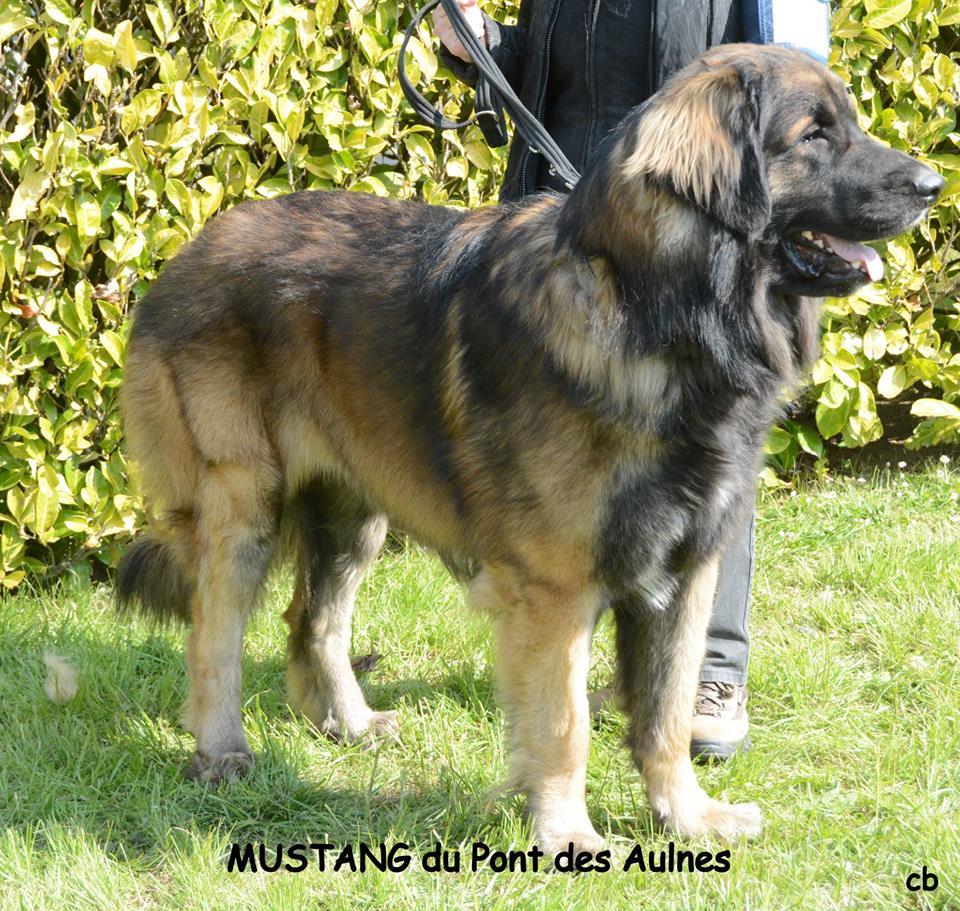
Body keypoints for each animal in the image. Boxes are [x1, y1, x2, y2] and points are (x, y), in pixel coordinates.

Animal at [116, 44, 940, 856]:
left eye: (850, 123)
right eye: (813, 135)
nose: (935, 186)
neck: (659, 317)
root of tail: (189, 249)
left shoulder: (688, 567)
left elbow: (667, 713)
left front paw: (686, 816)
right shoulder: (556, 590)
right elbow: (565, 724)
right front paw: (568, 833)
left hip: (354, 509)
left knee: (314, 619)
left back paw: (347, 723)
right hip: (242, 499)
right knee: (214, 633)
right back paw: (222, 751)